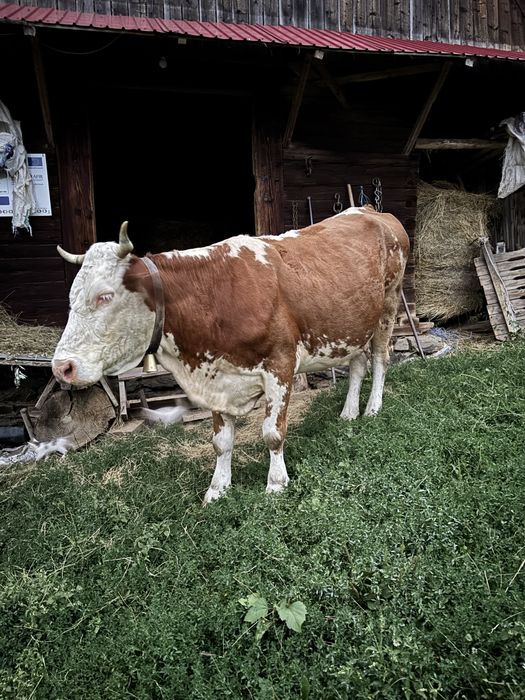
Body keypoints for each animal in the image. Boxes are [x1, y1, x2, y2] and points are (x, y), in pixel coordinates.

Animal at [52, 207, 409, 504]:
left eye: (104, 296)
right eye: (69, 297)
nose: (61, 367)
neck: (217, 296)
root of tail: (372, 210)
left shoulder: (280, 366)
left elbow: (273, 433)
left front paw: (276, 483)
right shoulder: (217, 376)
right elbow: (221, 442)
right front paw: (217, 489)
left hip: (388, 307)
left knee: (379, 360)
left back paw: (372, 408)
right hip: (354, 324)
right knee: (358, 364)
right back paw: (349, 412)